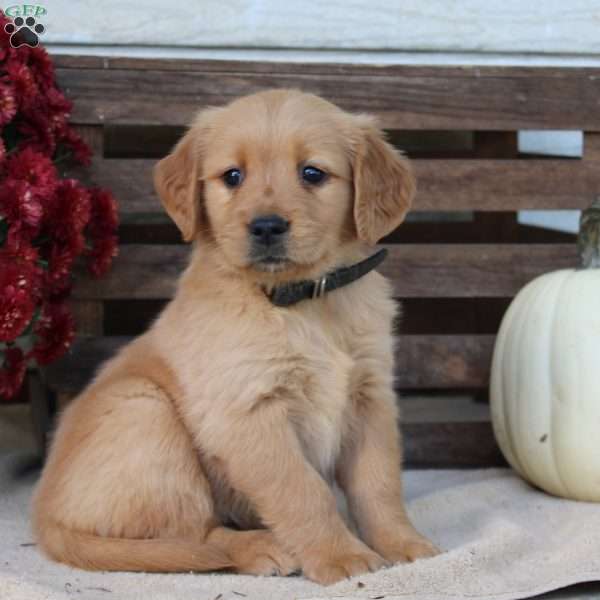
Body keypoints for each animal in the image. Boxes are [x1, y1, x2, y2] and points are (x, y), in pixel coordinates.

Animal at [34, 89, 440, 584]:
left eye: (312, 173)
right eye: (232, 176)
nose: (266, 226)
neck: (303, 302)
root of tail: (45, 518)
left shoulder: (369, 398)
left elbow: (379, 484)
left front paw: (403, 543)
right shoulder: (249, 410)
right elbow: (302, 490)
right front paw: (341, 555)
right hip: (146, 413)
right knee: (196, 538)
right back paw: (262, 546)